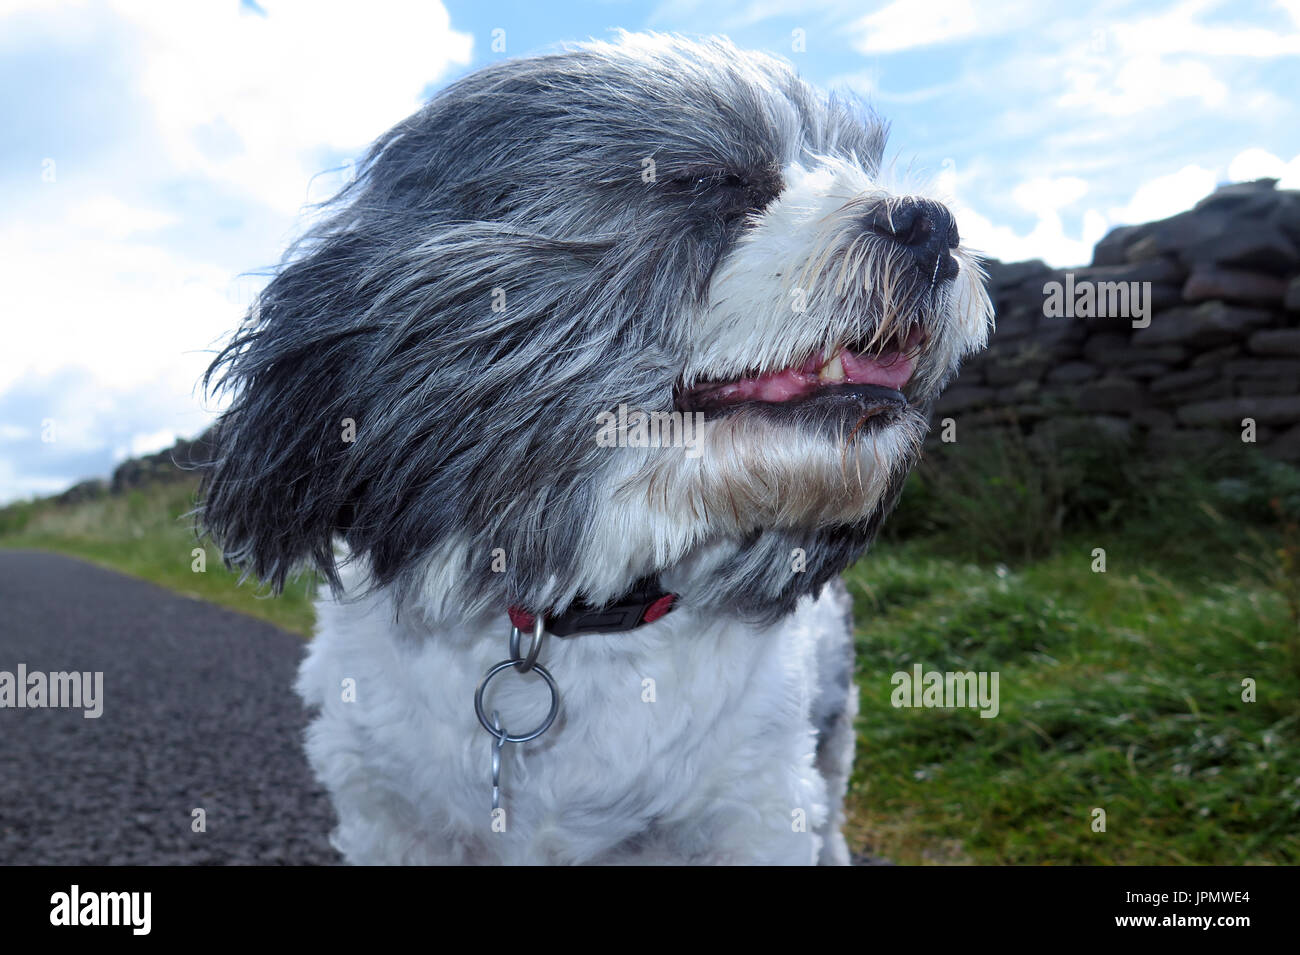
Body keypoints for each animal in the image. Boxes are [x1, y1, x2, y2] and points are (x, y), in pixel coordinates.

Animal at [197, 33, 987, 867]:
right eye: (713, 183)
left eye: (860, 164)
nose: (932, 223)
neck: (571, 610)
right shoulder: (391, 818)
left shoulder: (756, 811)